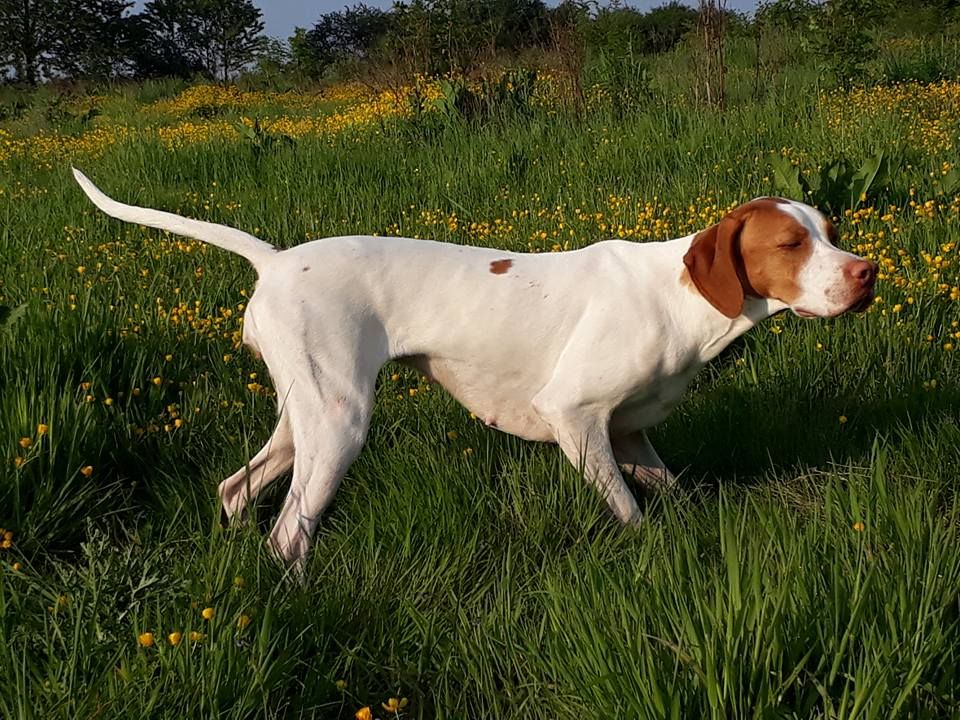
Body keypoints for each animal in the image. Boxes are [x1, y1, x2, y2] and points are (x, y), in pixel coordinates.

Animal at [73, 169, 876, 568]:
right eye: (789, 244)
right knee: (288, 534)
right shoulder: (575, 416)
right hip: (339, 425)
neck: (680, 297)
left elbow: (666, 494)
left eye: (831, 232)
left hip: (305, 418)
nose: (867, 273)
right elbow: (629, 513)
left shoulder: (629, 435)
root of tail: (273, 260)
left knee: (238, 491)